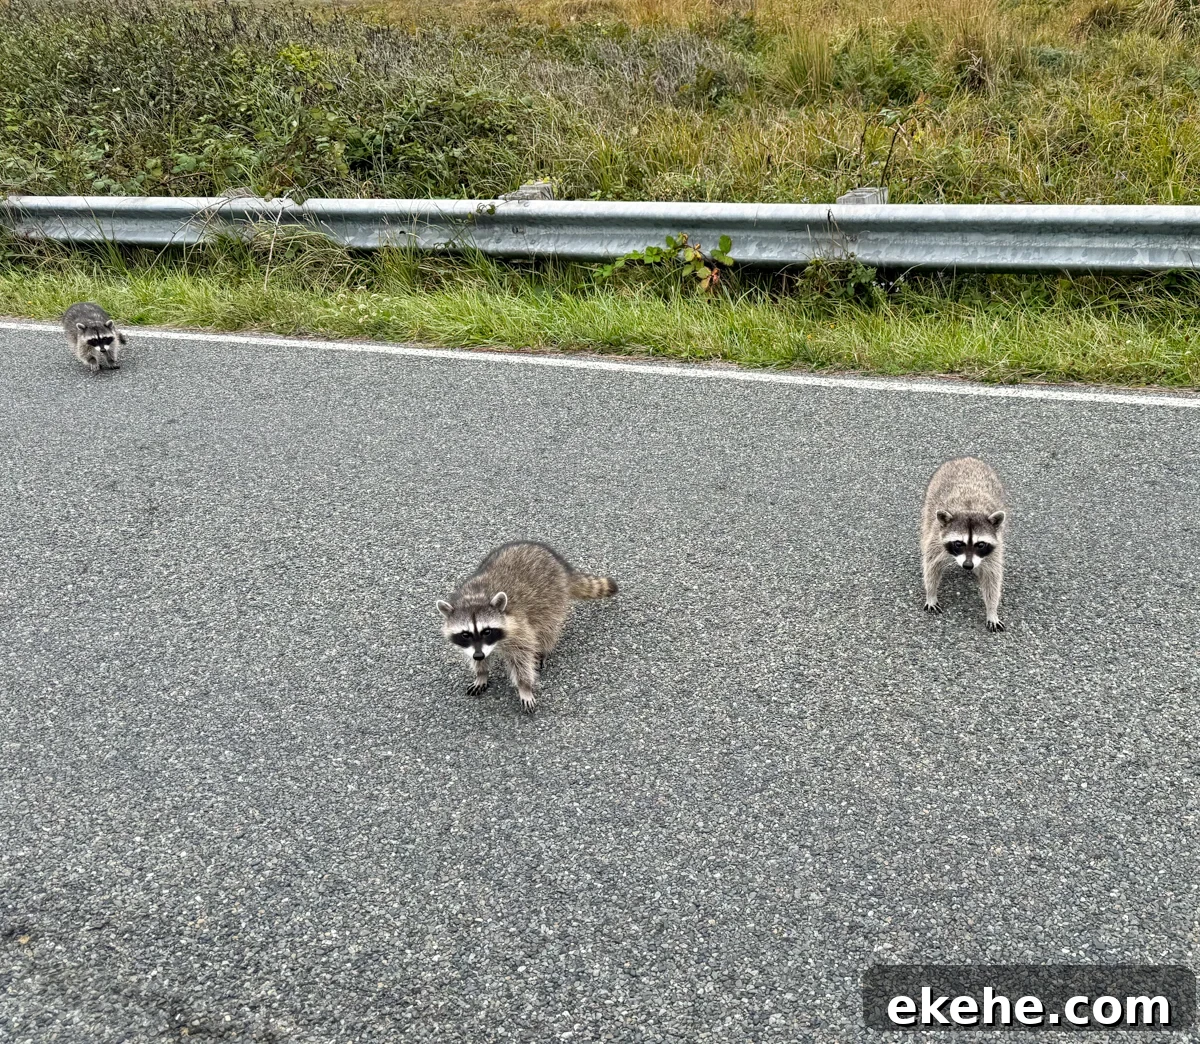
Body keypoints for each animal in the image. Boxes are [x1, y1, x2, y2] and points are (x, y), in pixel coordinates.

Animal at [437, 541, 617, 714]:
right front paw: (481, 673)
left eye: (487, 631)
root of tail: (558, 562)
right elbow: (475, 657)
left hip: (551, 598)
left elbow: (522, 658)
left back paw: (543, 649)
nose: (479, 655)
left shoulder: (519, 628)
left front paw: (524, 687)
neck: (475, 599)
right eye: (465, 634)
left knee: (548, 628)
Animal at [921, 457, 1008, 632]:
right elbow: (931, 565)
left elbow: (992, 578)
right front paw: (931, 593)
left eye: (980, 544)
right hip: (930, 501)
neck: (970, 509)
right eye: (958, 543)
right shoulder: (936, 539)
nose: (968, 565)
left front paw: (992, 610)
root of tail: (966, 458)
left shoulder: (995, 548)